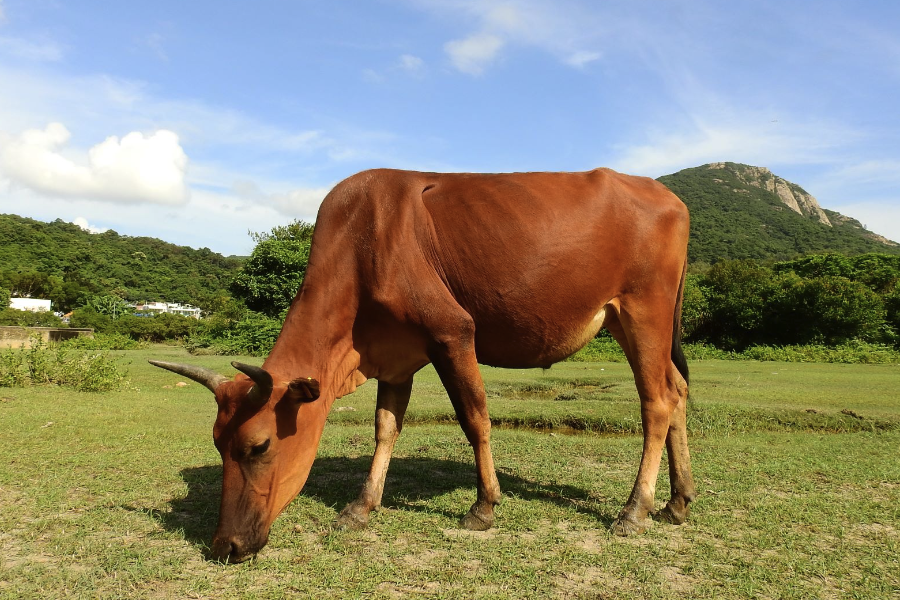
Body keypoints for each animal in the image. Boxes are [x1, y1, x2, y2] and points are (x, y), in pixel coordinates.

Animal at [151, 168, 692, 564]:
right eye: (217, 444)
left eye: (259, 445)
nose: (225, 546)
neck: (361, 241)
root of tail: (668, 195)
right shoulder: (395, 358)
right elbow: (385, 428)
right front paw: (361, 506)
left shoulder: (453, 332)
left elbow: (475, 419)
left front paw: (483, 506)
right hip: (632, 321)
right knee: (678, 392)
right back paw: (678, 501)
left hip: (644, 311)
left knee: (656, 402)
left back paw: (634, 510)